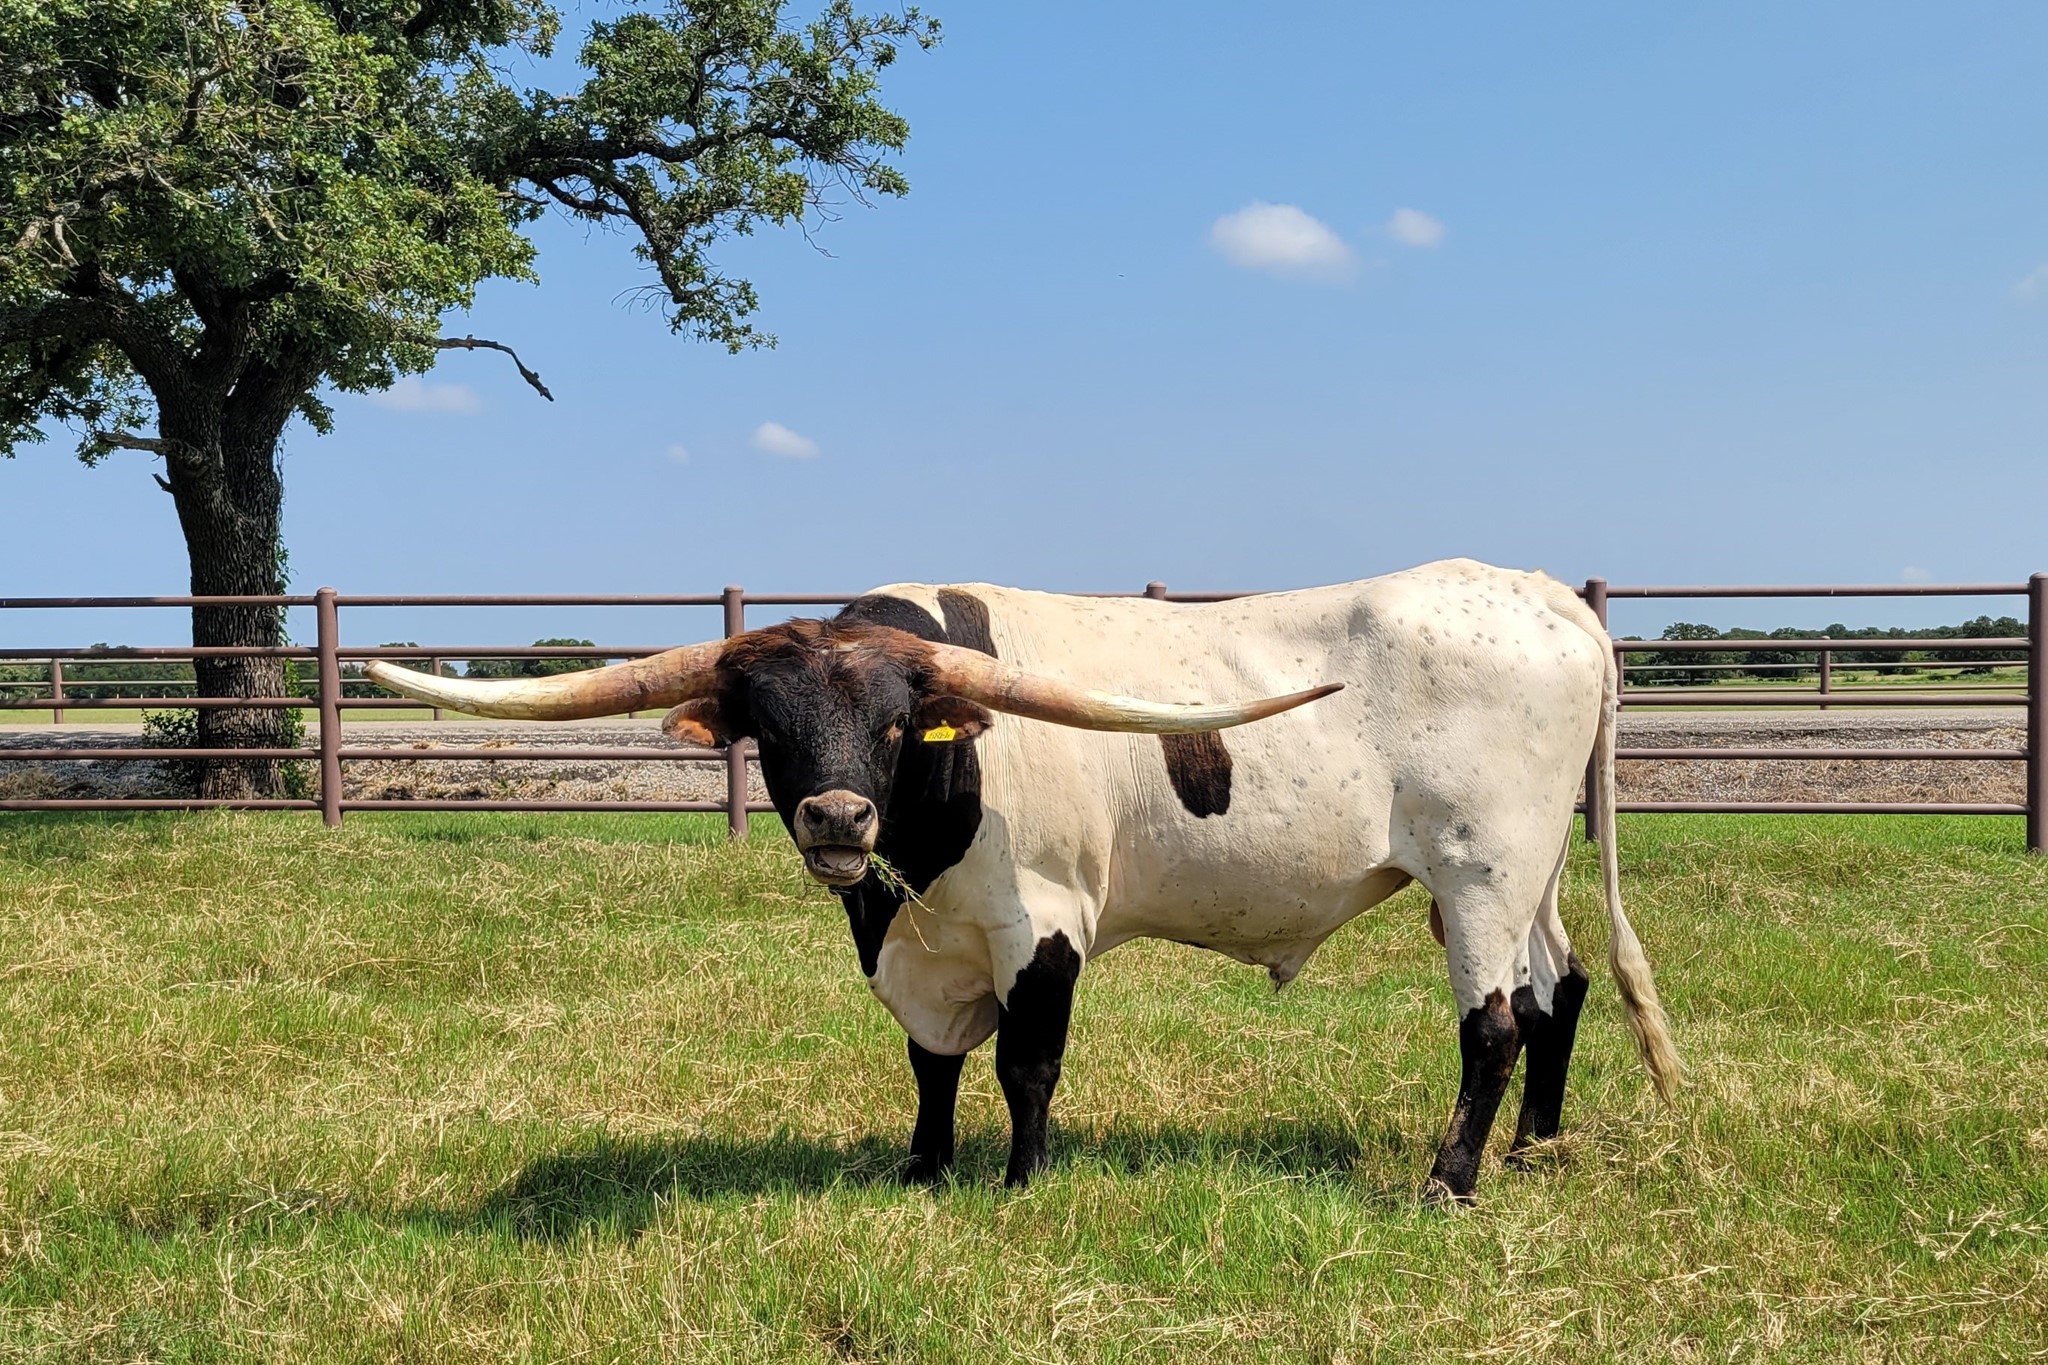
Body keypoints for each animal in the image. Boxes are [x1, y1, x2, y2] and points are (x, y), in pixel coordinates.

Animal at [367, 559, 1678, 1201]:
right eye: (769, 727)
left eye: (898, 725)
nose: (837, 817)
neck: (911, 867)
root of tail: (1549, 601)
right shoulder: (918, 945)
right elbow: (930, 1062)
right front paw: (921, 1170)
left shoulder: (1038, 924)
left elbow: (1022, 1064)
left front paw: (1018, 1183)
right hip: (1524, 872)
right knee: (1554, 992)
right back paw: (1532, 1151)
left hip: (1477, 869)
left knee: (1491, 1025)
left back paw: (1451, 1181)